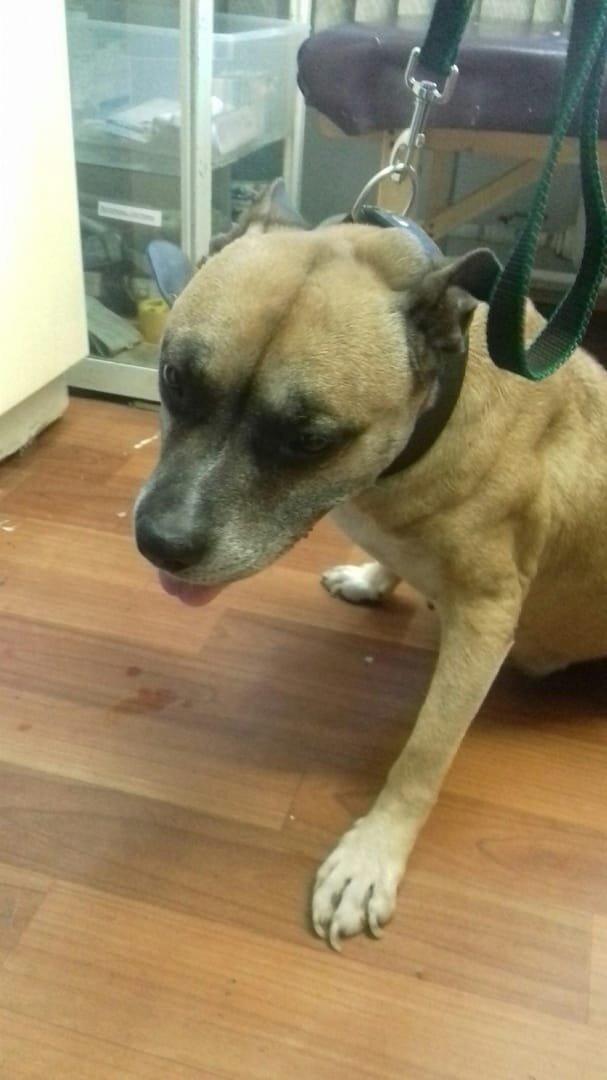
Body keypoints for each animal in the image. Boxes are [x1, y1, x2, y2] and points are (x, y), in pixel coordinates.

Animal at [135, 180, 607, 949]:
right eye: (175, 378)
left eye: (309, 440)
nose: (160, 541)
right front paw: (370, 576)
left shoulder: (484, 624)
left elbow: (421, 755)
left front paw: (371, 857)